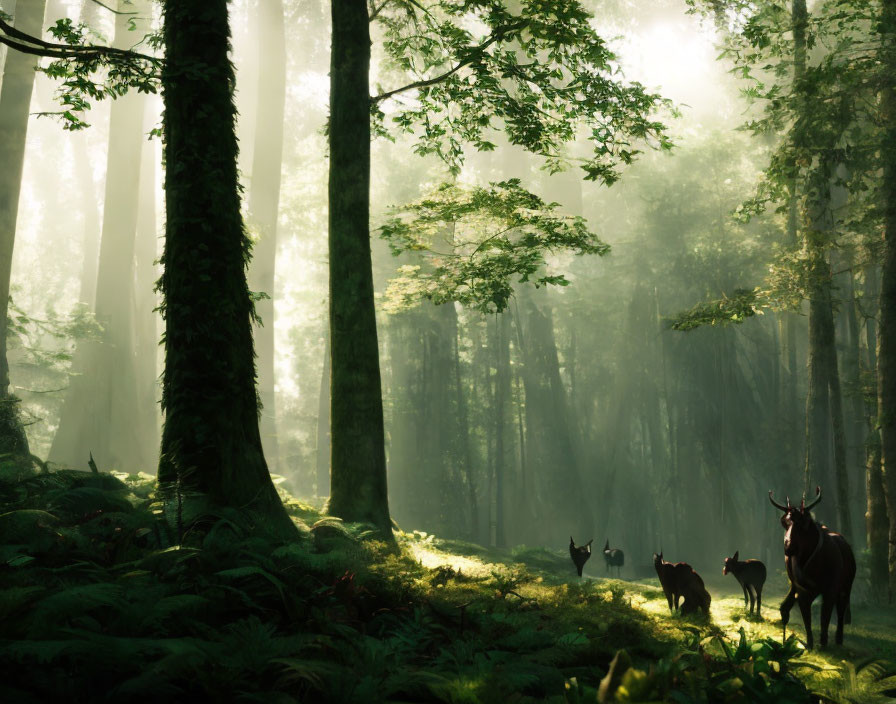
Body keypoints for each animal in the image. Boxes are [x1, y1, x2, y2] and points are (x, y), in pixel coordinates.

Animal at [768, 486, 856, 648]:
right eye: (785, 522)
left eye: (803, 523)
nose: (788, 546)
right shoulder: (802, 590)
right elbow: (806, 617)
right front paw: (809, 642)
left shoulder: (830, 588)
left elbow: (825, 615)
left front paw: (823, 642)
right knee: (786, 607)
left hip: (847, 584)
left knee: (841, 608)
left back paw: (839, 639)